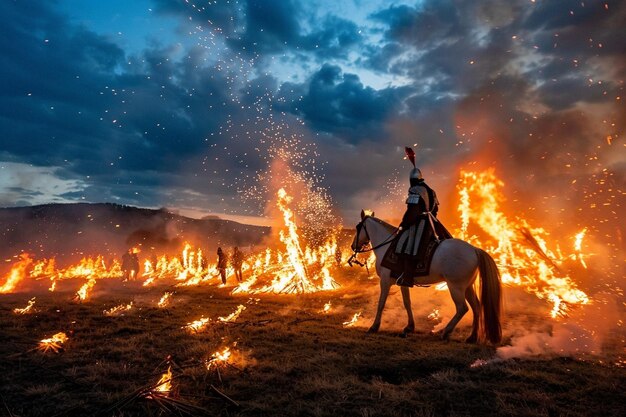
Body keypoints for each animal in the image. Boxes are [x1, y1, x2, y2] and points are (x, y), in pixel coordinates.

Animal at [352, 210, 502, 342]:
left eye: (358, 227)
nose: (353, 246)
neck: (386, 246)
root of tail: (474, 250)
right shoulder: (403, 283)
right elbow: (407, 303)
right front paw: (409, 327)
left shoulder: (384, 281)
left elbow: (381, 303)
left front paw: (374, 327)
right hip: (468, 287)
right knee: (476, 307)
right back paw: (472, 337)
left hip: (455, 287)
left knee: (462, 308)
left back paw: (446, 332)